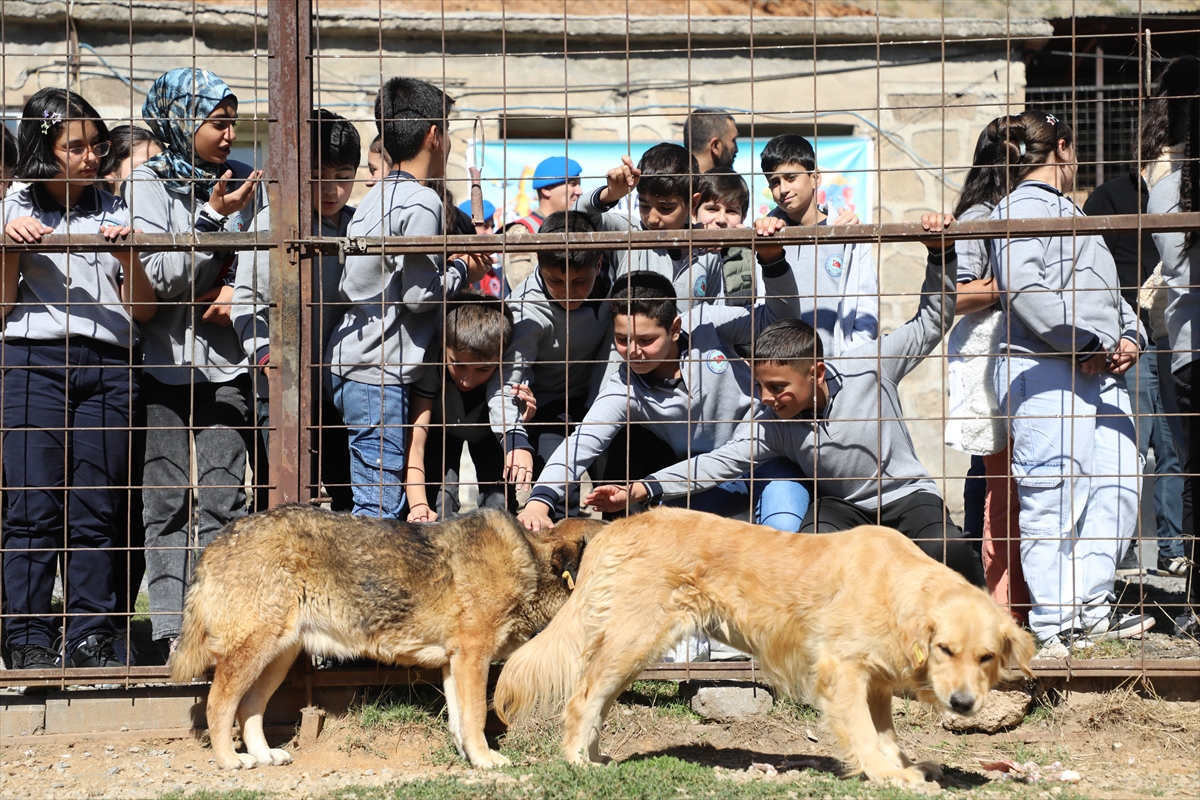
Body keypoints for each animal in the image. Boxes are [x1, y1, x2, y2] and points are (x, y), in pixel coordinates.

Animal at [171, 503, 597, 772]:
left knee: (249, 708)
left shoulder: (454, 663)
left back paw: (263, 756)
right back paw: (229, 760)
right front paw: (486, 761)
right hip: (253, 652)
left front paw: (468, 758)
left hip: (278, 657)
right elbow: (477, 717)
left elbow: (461, 721)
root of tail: (215, 542)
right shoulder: (473, 658)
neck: (531, 564)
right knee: (219, 705)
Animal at [492, 510, 1036, 786]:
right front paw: (886, 774)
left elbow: (886, 733)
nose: (963, 705)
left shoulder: (877, 682)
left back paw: (596, 755)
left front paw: (900, 765)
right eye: (944, 649)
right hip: (634, 639)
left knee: (597, 702)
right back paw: (576, 761)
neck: (895, 587)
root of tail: (620, 522)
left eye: (986, 657)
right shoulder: (841, 671)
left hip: (633, 649)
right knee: (582, 699)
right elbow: (864, 733)